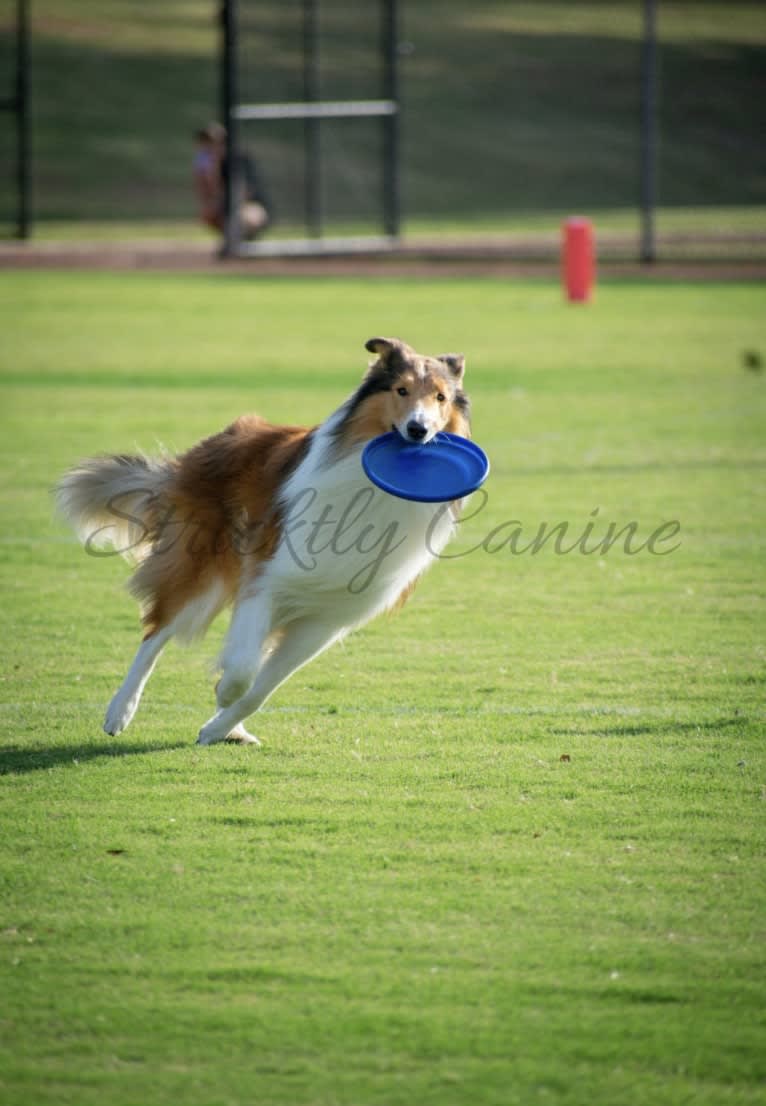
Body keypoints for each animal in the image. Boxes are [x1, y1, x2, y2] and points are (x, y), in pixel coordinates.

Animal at [56, 336, 468, 743]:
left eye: (440, 397)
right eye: (402, 390)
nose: (418, 430)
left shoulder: (324, 620)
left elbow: (261, 689)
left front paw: (217, 726)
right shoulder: (267, 577)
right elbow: (242, 669)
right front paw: (223, 691)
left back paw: (231, 730)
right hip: (202, 574)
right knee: (156, 632)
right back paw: (119, 712)